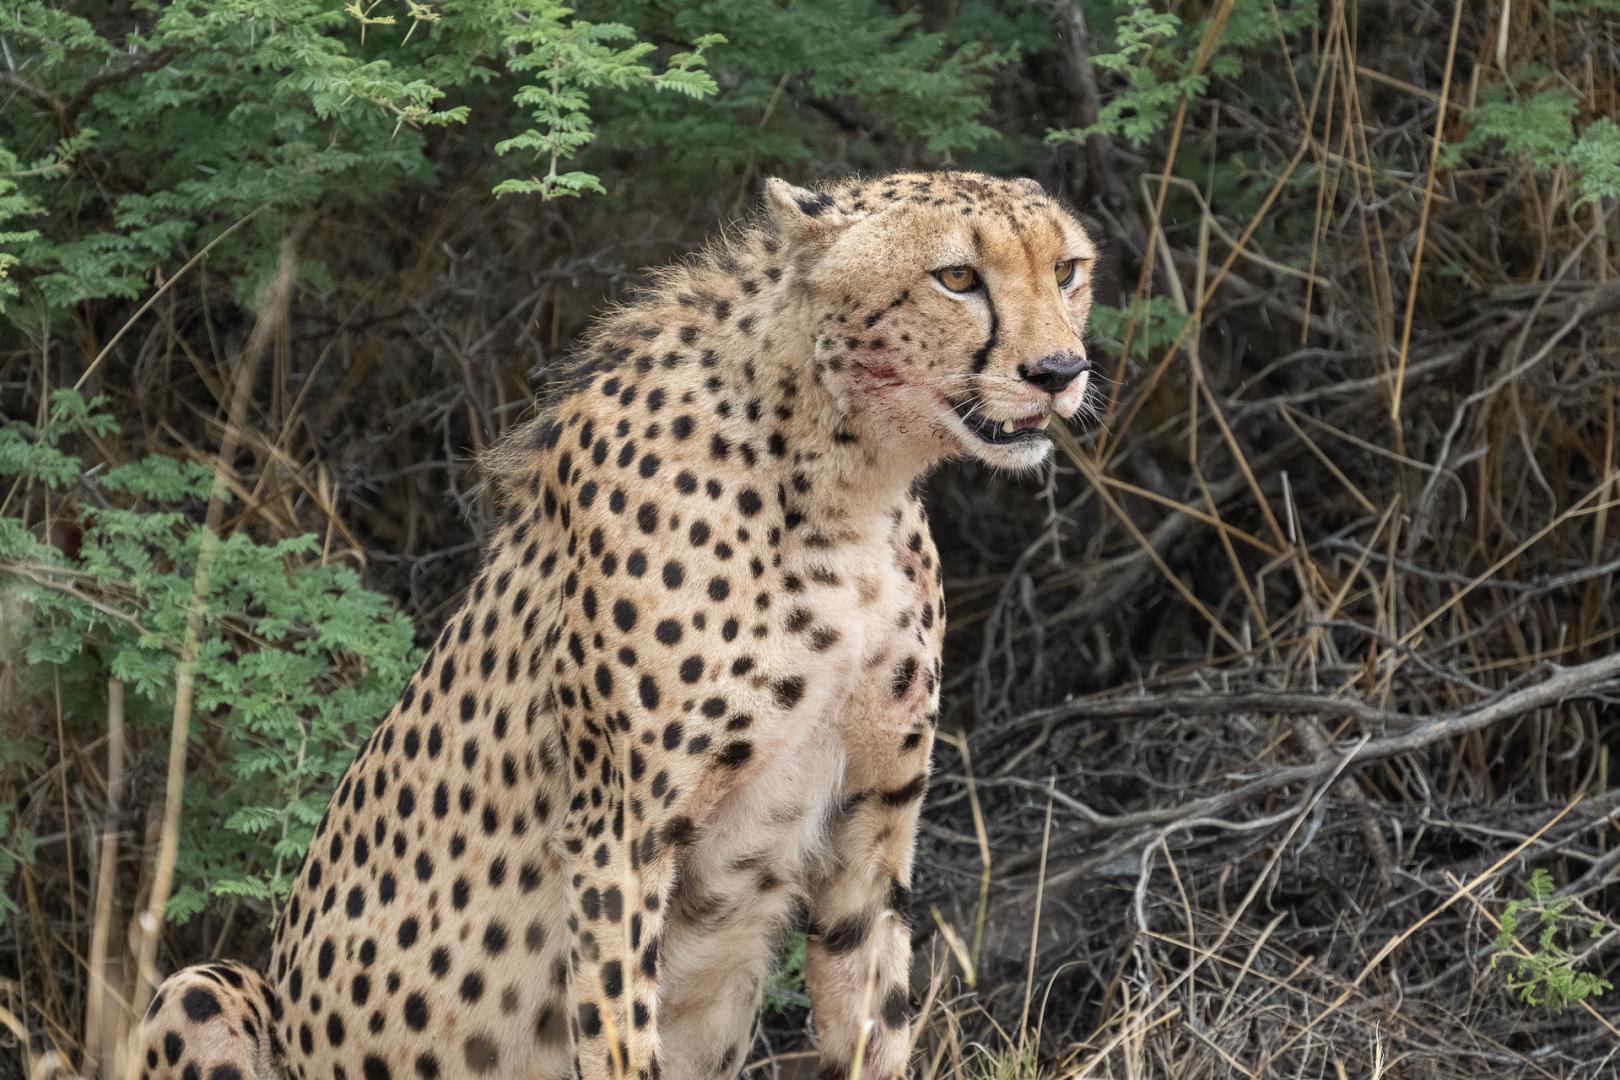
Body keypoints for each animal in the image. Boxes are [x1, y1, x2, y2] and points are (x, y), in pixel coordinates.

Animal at [135, 170, 1098, 1080]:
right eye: (957, 277)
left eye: (1067, 270)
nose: (1059, 372)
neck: (845, 484)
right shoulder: (619, 836)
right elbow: (617, 1033)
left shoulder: (874, 820)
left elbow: (875, 1020)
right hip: (203, 986)